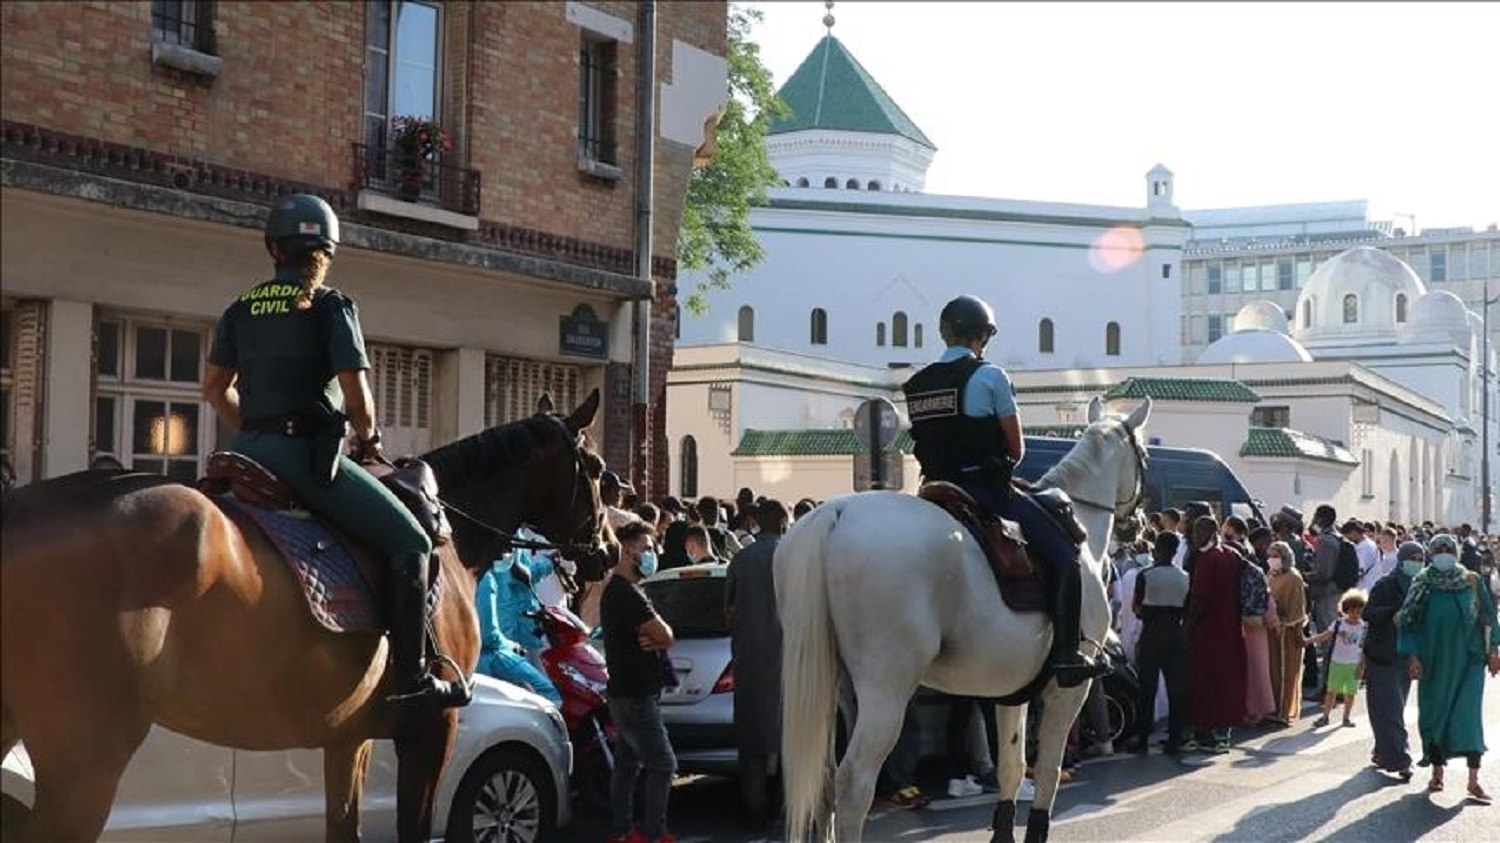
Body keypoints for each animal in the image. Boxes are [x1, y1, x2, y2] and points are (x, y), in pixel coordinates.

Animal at [1, 390, 609, 840]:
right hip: (87, 759)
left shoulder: (349, 737)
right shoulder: (434, 727)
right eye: (600, 469)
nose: (602, 551)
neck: (451, 533)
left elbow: (345, 827)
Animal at [774, 396, 1146, 840]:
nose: (1138, 525)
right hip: (886, 688)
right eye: (1144, 455)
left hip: (835, 686)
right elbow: (1049, 773)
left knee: (825, 781)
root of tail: (838, 513)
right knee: (854, 783)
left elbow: (1012, 768)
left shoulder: (1012, 689)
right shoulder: (1067, 688)